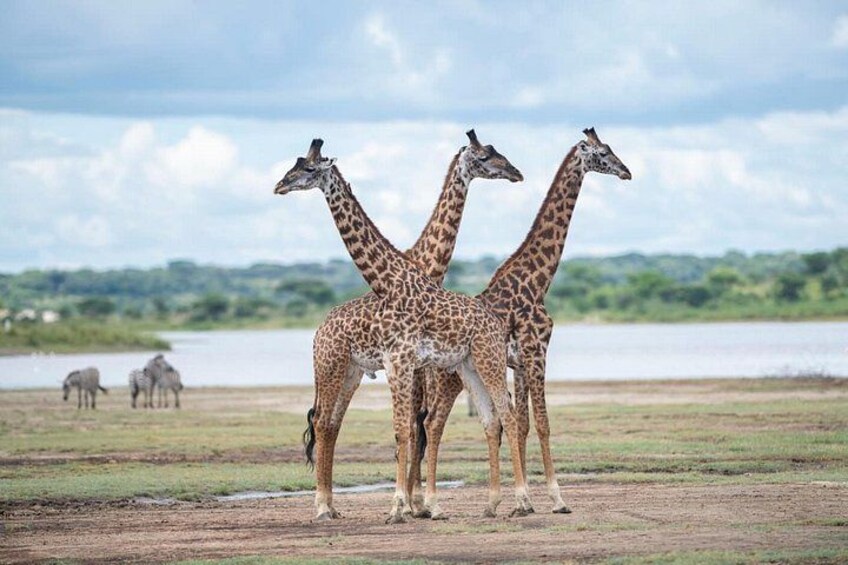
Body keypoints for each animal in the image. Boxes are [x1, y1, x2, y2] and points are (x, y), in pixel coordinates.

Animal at [274, 139, 533, 524]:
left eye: (307, 168)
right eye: (297, 165)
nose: (280, 185)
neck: (396, 278)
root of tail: (319, 330)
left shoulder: (406, 363)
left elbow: (409, 429)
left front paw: (406, 506)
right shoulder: (400, 362)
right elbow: (408, 430)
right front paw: (412, 504)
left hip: (475, 362)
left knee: (506, 415)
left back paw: (521, 501)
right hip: (339, 366)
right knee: (325, 422)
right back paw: (325, 507)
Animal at [419, 127, 632, 514]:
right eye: (603, 153)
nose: (627, 172)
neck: (537, 280)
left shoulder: (518, 363)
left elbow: (522, 424)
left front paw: (523, 499)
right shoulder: (537, 353)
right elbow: (543, 424)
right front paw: (556, 498)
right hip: (450, 379)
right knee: (434, 422)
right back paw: (430, 504)